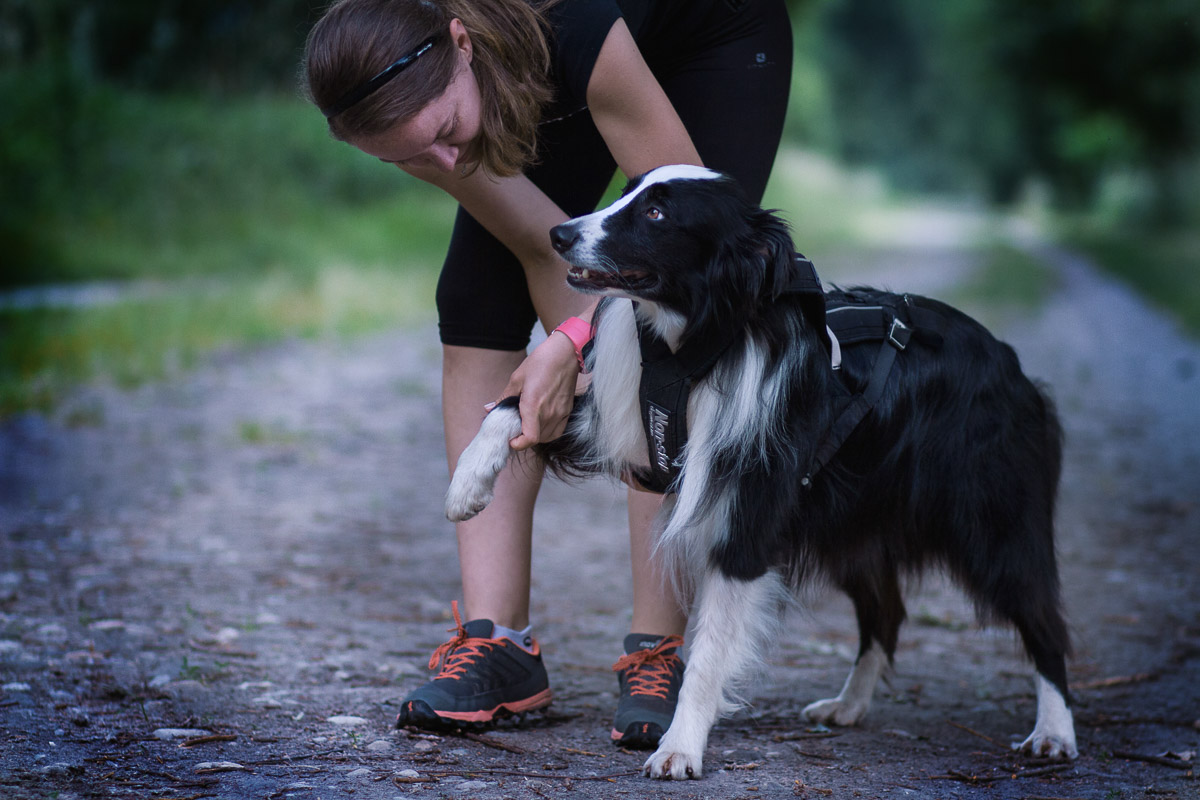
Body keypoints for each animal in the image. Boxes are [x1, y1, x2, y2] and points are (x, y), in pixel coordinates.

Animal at [444, 165, 1080, 777]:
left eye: (656, 214)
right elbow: (514, 407)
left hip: (992, 525)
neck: (694, 347)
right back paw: (849, 704)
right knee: (887, 612)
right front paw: (467, 484)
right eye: (626, 192)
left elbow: (706, 656)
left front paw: (679, 748)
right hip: (854, 525)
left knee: (1043, 621)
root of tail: (1011, 364)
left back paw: (1053, 732)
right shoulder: (623, 428)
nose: (559, 234)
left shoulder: (746, 525)